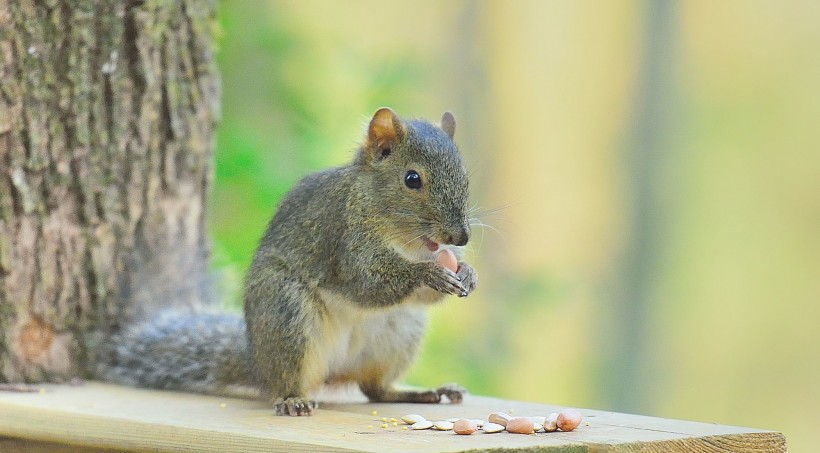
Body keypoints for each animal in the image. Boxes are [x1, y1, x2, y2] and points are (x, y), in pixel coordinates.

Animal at [94, 107, 480, 414]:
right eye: (412, 179)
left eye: (466, 177)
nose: (461, 237)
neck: (405, 242)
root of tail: (256, 362)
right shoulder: (344, 240)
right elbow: (367, 282)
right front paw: (428, 273)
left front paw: (467, 273)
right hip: (287, 313)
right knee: (287, 380)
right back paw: (293, 399)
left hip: (399, 331)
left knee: (374, 389)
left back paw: (422, 393)